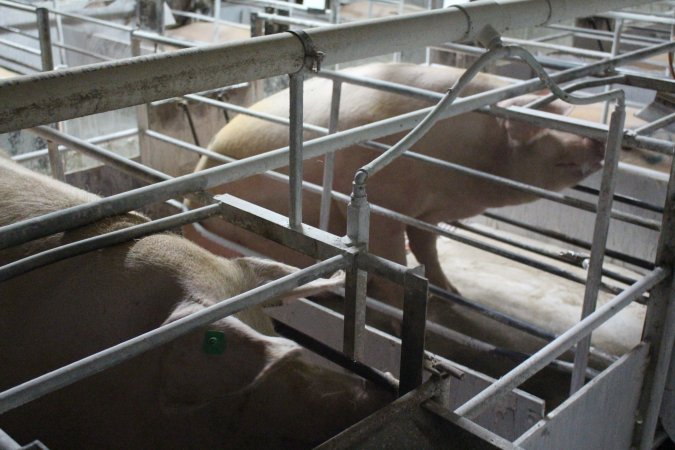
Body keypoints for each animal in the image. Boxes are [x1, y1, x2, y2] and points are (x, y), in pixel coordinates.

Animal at [187, 61, 604, 304]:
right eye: (547, 117)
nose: (598, 136)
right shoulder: (385, 202)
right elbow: (392, 256)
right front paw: (414, 301)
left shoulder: (426, 213)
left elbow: (426, 248)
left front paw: (449, 291)